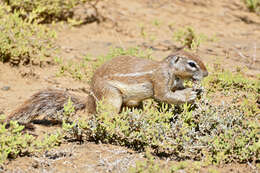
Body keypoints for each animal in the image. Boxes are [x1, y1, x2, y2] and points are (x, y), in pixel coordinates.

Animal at [6, 50, 208, 125]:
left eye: (199, 58)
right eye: (192, 64)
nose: (206, 74)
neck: (171, 71)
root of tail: (90, 97)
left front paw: (195, 91)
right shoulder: (160, 79)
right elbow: (164, 95)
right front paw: (189, 95)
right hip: (112, 96)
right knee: (104, 116)